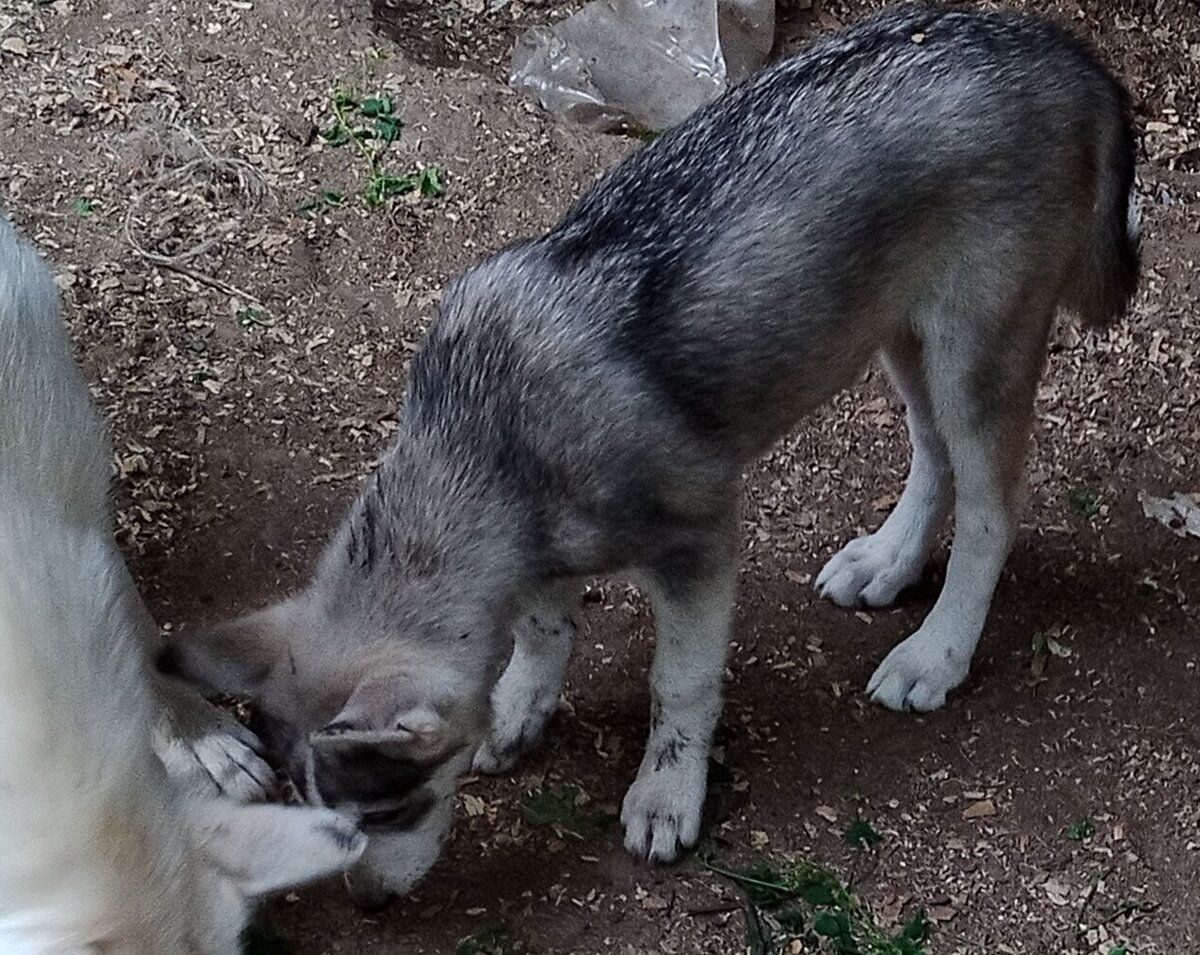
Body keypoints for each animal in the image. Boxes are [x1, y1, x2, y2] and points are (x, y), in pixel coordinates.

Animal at [164, 3, 1137, 907]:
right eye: (310, 806)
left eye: (385, 808)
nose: (368, 905)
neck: (491, 439)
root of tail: (1058, 46)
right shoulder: (537, 554)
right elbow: (544, 629)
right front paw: (517, 710)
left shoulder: (699, 545)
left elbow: (680, 687)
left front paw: (667, 796)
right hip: (898, 334)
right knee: (933, 459)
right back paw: (888, 563)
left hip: (973, 349)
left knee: (991, 510)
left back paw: (937, 653)